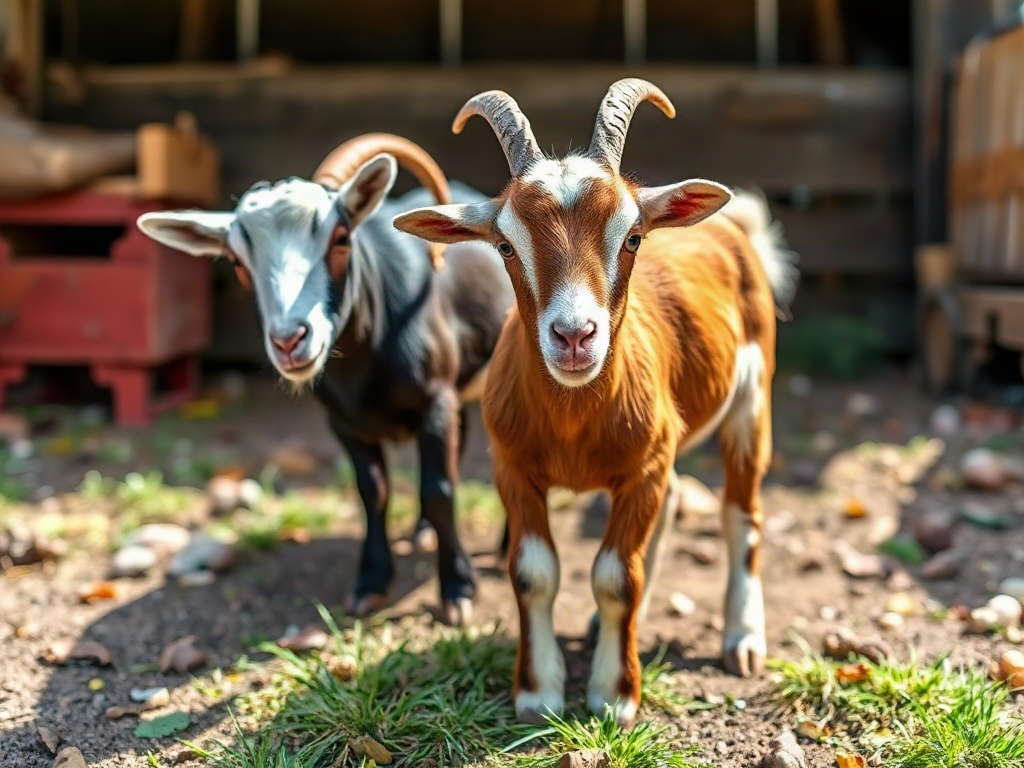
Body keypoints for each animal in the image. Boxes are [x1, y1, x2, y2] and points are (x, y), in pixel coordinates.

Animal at [136, 134, 515, 626]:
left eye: (340, 238)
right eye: (236, 260)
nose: (289, 340)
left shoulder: (436, 401)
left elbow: (440, 489)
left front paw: (458, 590)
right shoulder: (345, 423)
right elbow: (373, 492)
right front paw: (371, 584)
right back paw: (421, 531)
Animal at [393, 79, 798, 725]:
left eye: (632, 238)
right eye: (505, 246)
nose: (575, 336)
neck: (574, 422)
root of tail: (732, 228)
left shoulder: (642, 470)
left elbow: (615, 577)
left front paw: (614, 695)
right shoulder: (515, 468)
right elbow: (533, 573)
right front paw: (538, 693)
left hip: (752, 398)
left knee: (742, 514)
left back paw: (742, 640)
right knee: (679, 499)